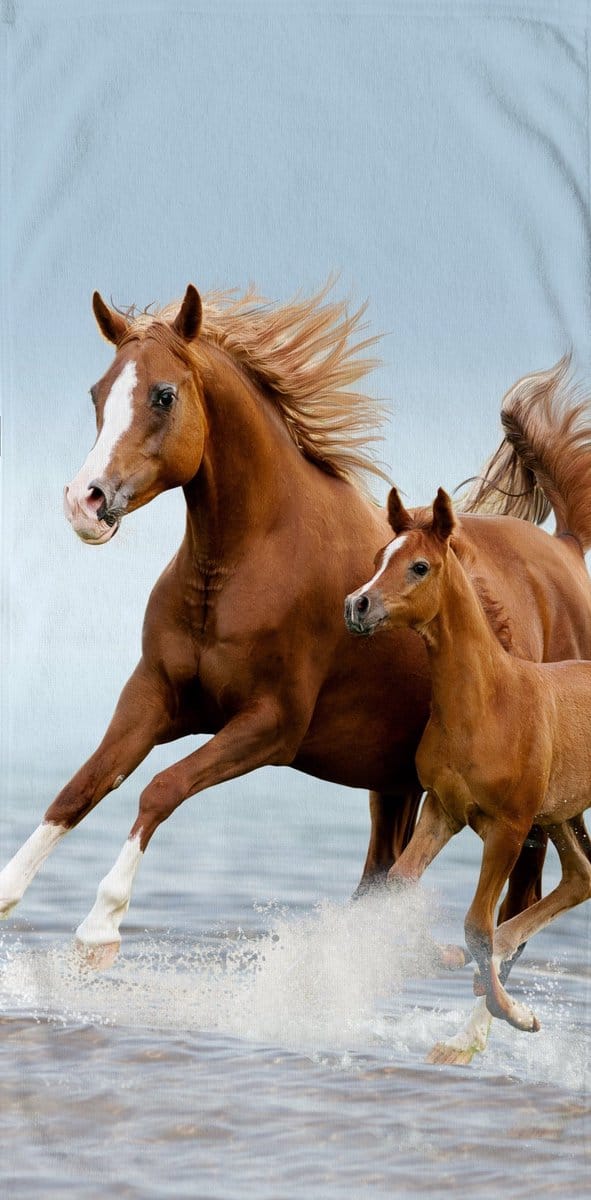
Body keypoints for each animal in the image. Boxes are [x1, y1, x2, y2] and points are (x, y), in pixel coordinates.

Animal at [0, 284, 590, 968]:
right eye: (98, 393)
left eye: (163, 394)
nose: (85, 502)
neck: (244, 563)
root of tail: (568, 547)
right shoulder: (153, 697)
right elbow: (81, 788)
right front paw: (8, 895)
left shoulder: (270, 726)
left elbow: (160, 789)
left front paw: (101, 926)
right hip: (396, 783)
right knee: (384, 879)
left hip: (532, 805)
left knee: (520, 902)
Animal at [345, 484, 591, 1047]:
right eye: (379, 557)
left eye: (419, 566)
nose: (357, 604)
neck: (489, 703)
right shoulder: (443, 810)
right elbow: (400, 884)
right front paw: (451, 960)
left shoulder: (509, 828)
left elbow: (476, 923)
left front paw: (514, 1013)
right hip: (562, 813)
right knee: (581, 876)